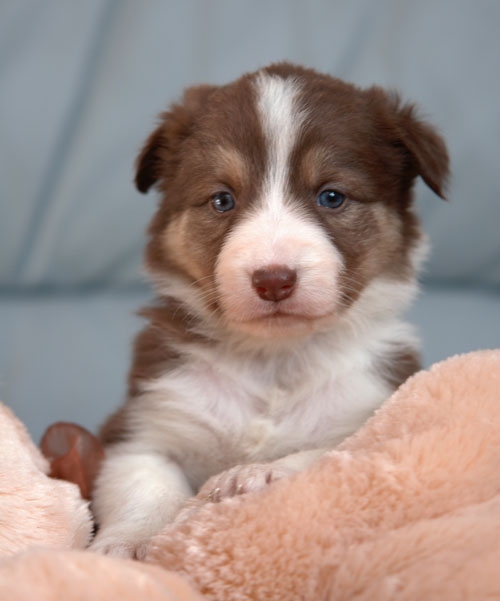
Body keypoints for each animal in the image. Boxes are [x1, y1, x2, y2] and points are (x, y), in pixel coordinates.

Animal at [90, 63, 450, 556]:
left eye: (331, 196)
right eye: (222, 199)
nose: (273, 279)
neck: (274, 359)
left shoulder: (372, 409)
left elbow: (329, 453)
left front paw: (260, 472)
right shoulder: (144, 422)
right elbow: (145, 484)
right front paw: (124, 542)